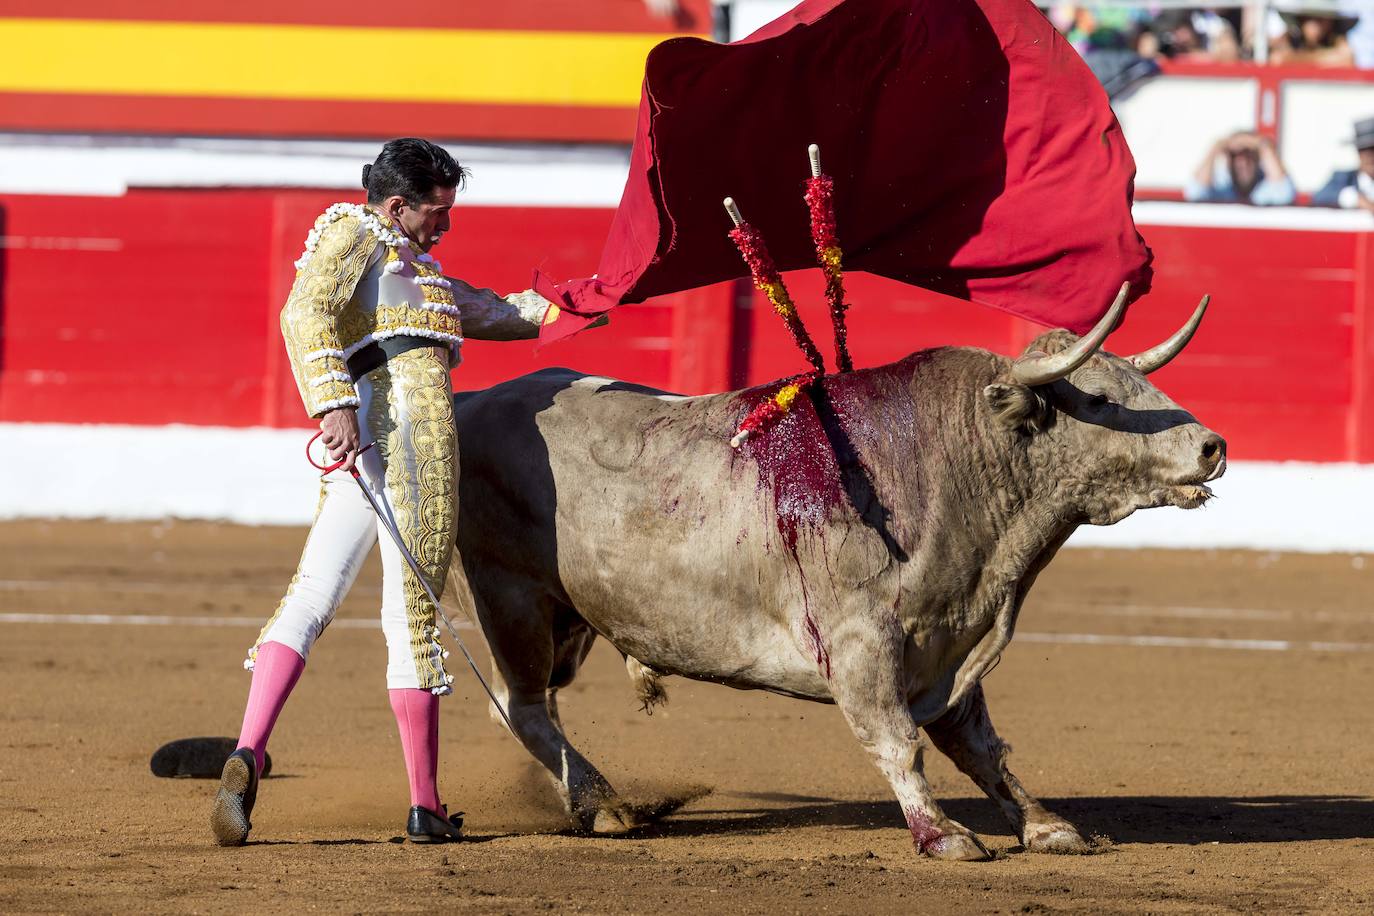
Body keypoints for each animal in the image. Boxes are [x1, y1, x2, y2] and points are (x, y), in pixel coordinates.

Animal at [447, 289, 1225, 862]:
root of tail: (472, 402)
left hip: (569, 618)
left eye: (1142, 380)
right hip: (510, 600)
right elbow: (897, 740)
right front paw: (944, 835)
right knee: (522, 707)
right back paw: (606, 805)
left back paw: (590, 801)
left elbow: (981, 748)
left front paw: (1045, 825)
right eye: (1095, 398)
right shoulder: (862, 642)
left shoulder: (949, 639)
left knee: (533, 705)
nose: (1212, 447)